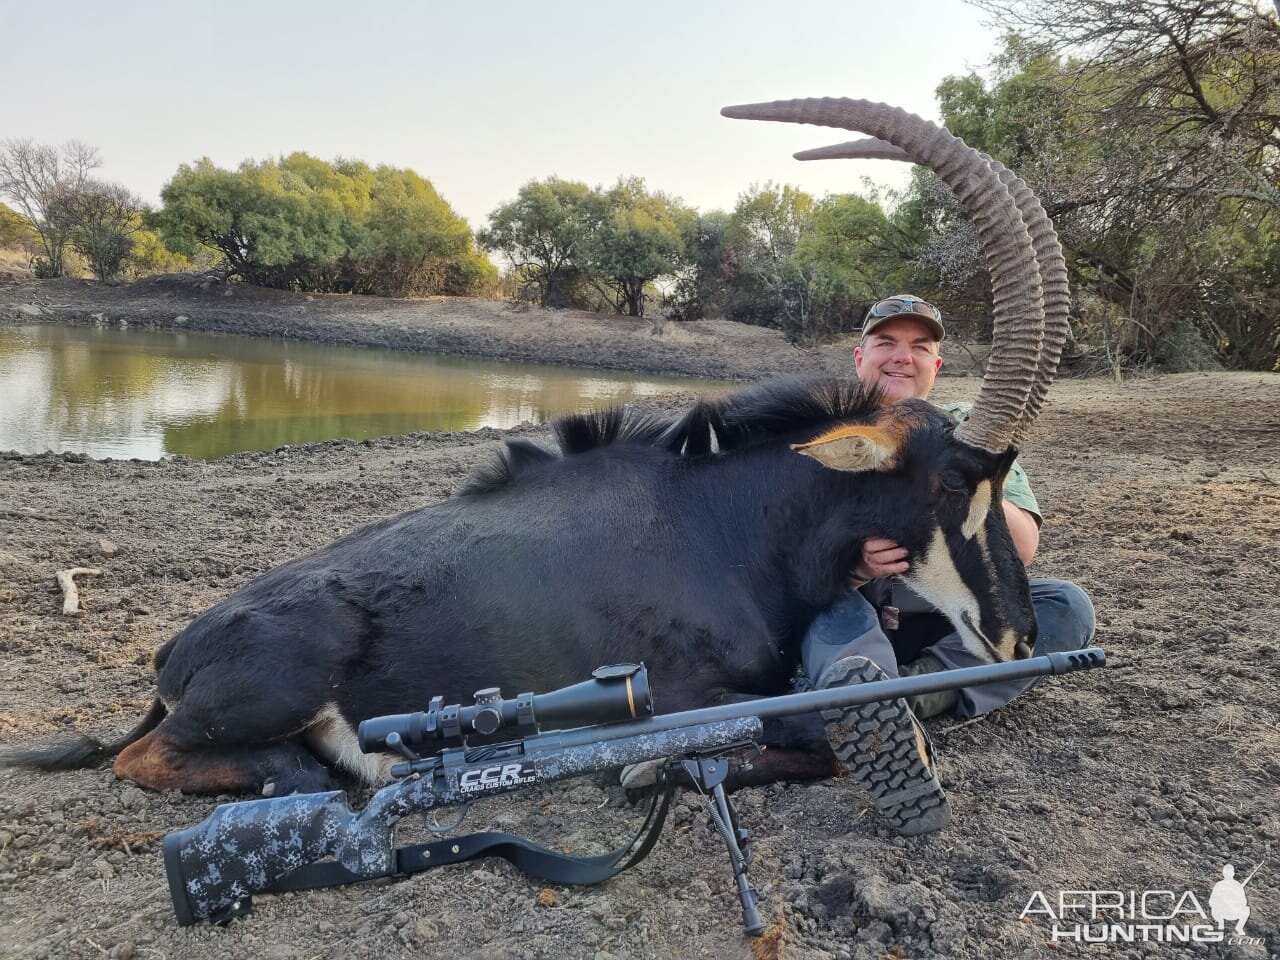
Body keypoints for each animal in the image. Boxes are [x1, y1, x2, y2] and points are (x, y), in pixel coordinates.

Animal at [2, 101, 1070, 798]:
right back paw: (332, 768)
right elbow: (804, 723)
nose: (1017, 639)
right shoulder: (674, 691)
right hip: (282, 679)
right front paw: (653, 771)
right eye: (951, 481)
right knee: (154, 760)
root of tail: (176, 649)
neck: (728, 522)